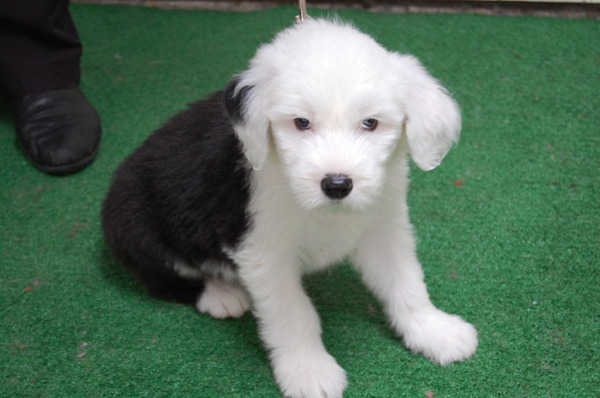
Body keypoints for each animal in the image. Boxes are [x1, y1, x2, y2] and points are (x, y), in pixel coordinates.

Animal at [103, 17, 478, 398]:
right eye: (301, 122)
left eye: (371, 122)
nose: (337, 184)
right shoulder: (264, 251)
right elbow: (293, 313)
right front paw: (308, 371)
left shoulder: (384, 226)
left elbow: (405, 280)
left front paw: (433, 330)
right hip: (135, 225)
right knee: (166, 279)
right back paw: (221, 294)